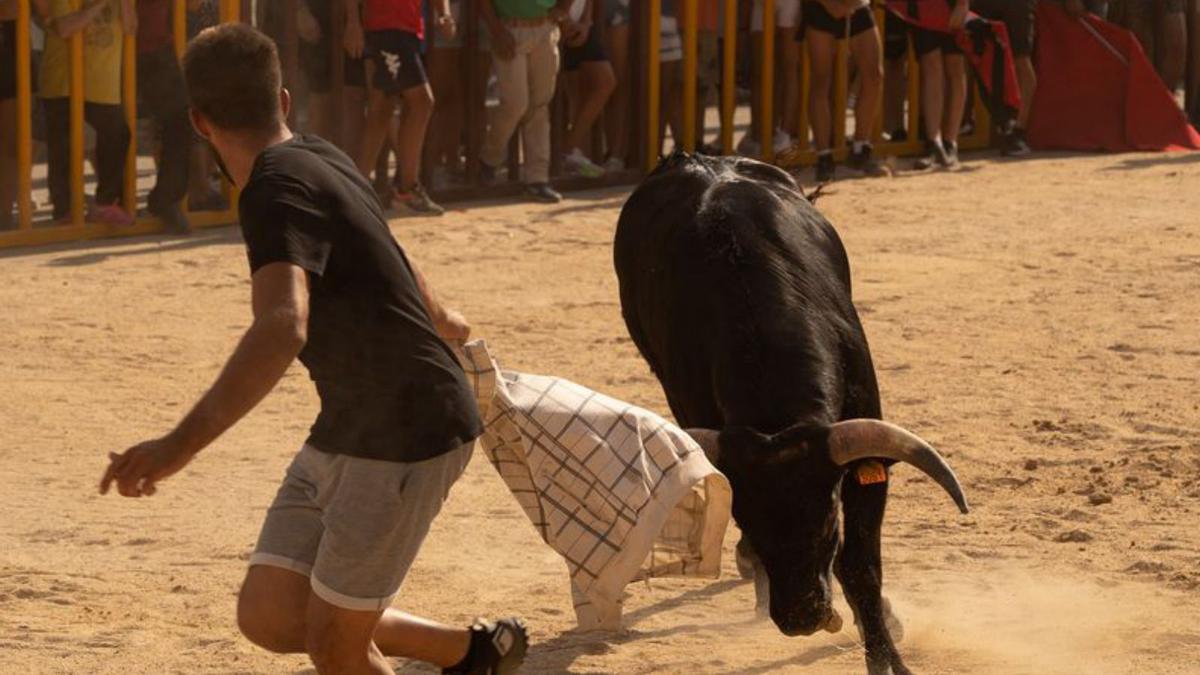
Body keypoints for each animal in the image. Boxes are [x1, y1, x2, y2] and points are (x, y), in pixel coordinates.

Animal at [614, 153, 969, 672]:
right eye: (748, 518)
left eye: (827, 522)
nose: (802, 617)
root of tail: (701, 160)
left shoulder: (869, 464)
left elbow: (859, 565)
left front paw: (887, 653)